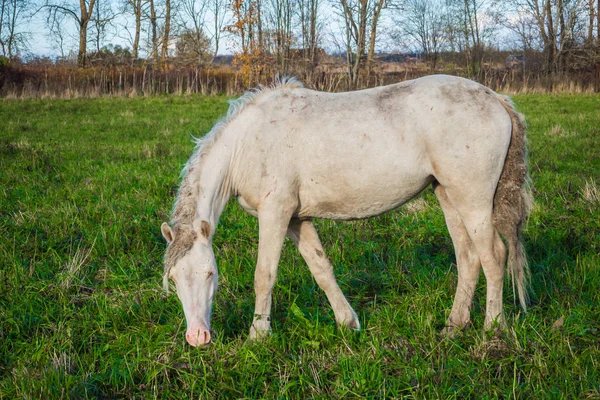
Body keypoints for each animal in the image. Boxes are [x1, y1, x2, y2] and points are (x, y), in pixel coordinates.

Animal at [159, 75, 528, 346]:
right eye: (174, 278)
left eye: (210, 273)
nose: (197, 337)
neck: (247, 143)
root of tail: (495, 97)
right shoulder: (297, 218)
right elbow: (322, 270)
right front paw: (348, 323)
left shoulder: (275, 213)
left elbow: (264, 276)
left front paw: (258, 336)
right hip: (448, 195)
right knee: (468, 258)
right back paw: (453, 326)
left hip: (473, 199)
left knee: (493, 256)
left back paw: (492, 329)